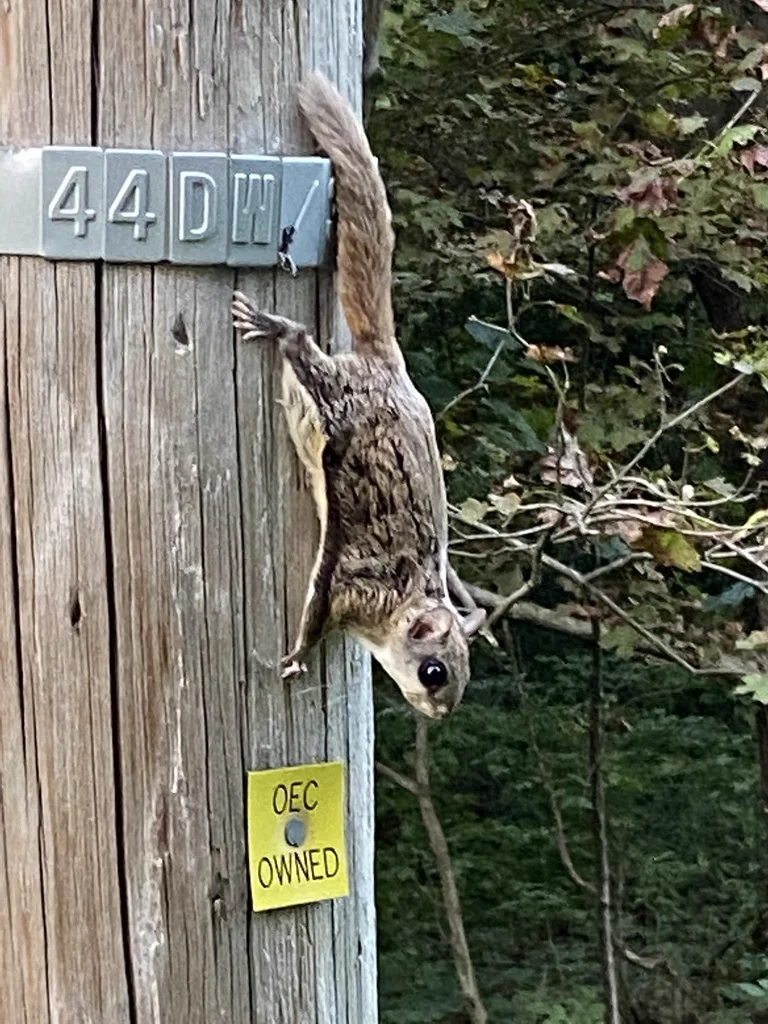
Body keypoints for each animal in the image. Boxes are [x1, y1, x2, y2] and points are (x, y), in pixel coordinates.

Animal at [232, 70, 485, 719]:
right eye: (434, 671)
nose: (440, 713)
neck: (403, 601)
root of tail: (388, 366)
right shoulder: (352, 586)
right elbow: (316, 612)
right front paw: (297, 657)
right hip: (336, 397)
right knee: (301, 346)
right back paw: (277, 329)